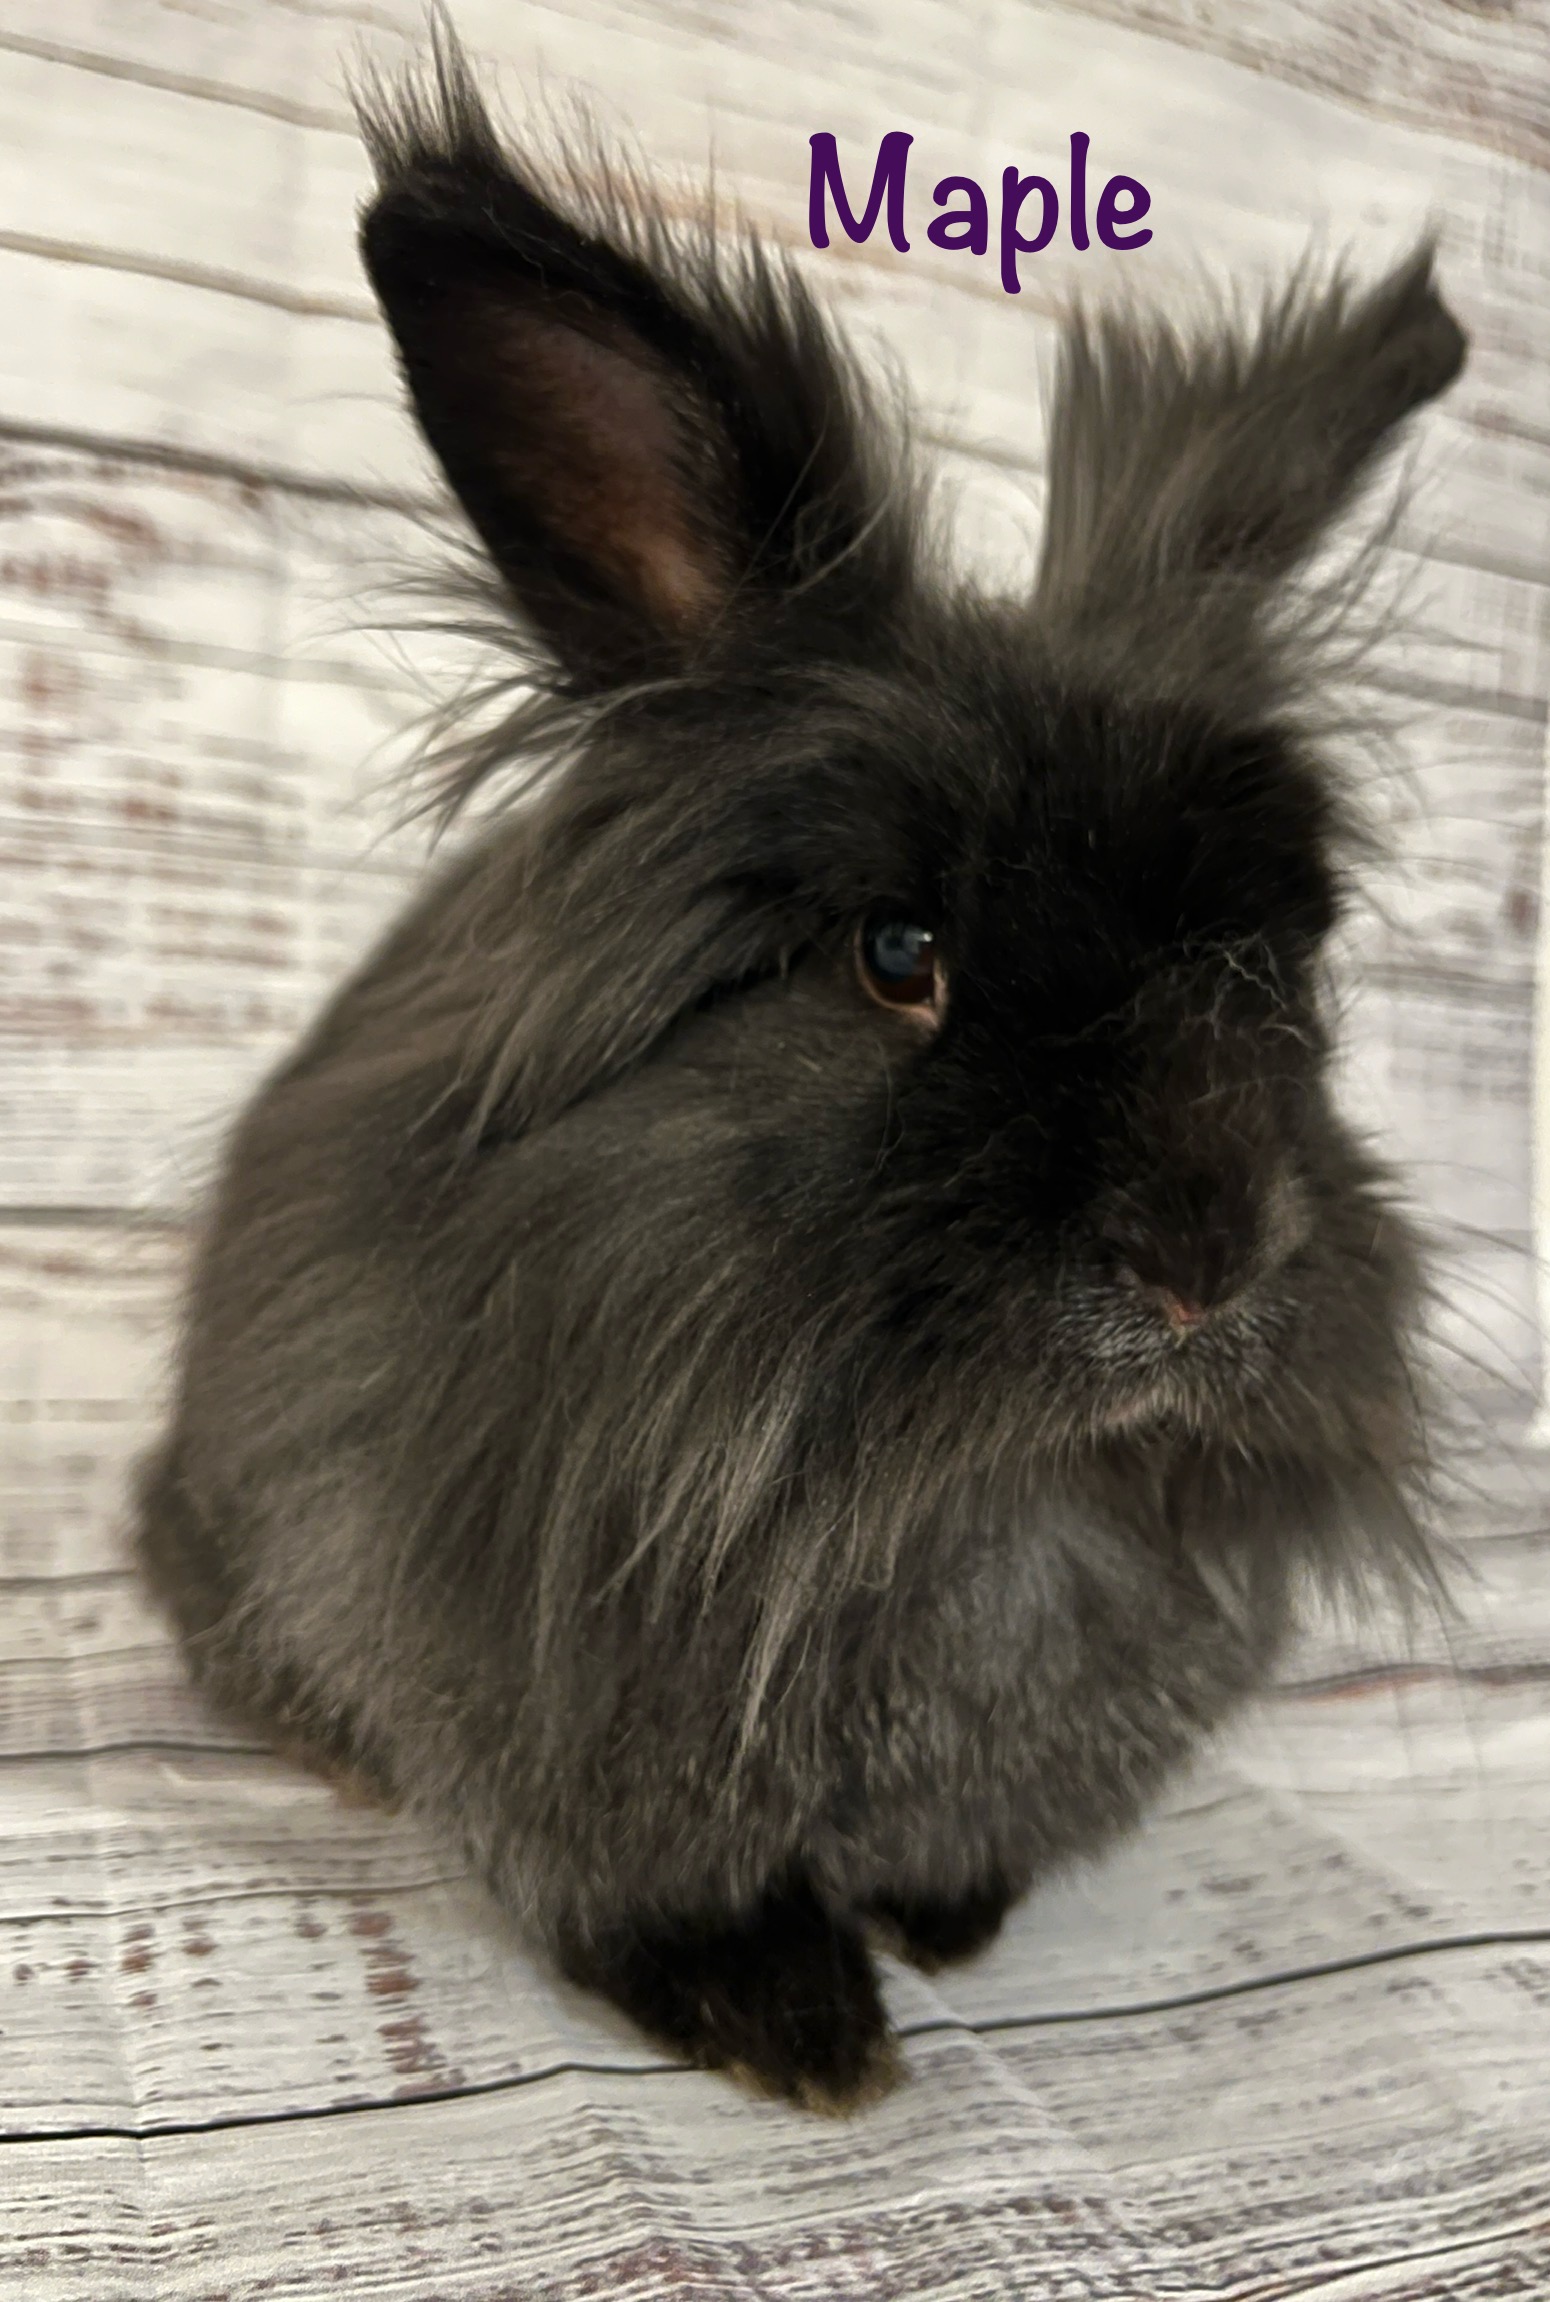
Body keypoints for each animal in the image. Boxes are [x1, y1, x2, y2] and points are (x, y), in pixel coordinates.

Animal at [135, 27, 1467, 2112]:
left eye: (1289, 962)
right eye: (898, 956)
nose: (1201, 1270)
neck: (953, 1483)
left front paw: (945, 1924)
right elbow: (655, 1895)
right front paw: (805, 2036)